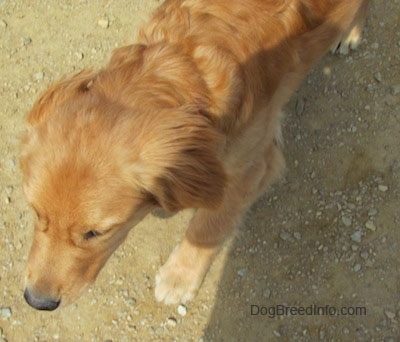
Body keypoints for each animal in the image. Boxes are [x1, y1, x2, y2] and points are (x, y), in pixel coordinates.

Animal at [19, 0, 368, 310]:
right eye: (36, 213)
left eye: (96, 233)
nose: (38, 301)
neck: (184, 70)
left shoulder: (251, 168)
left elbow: (208, 227)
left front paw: (180, 277)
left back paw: (349, 33)